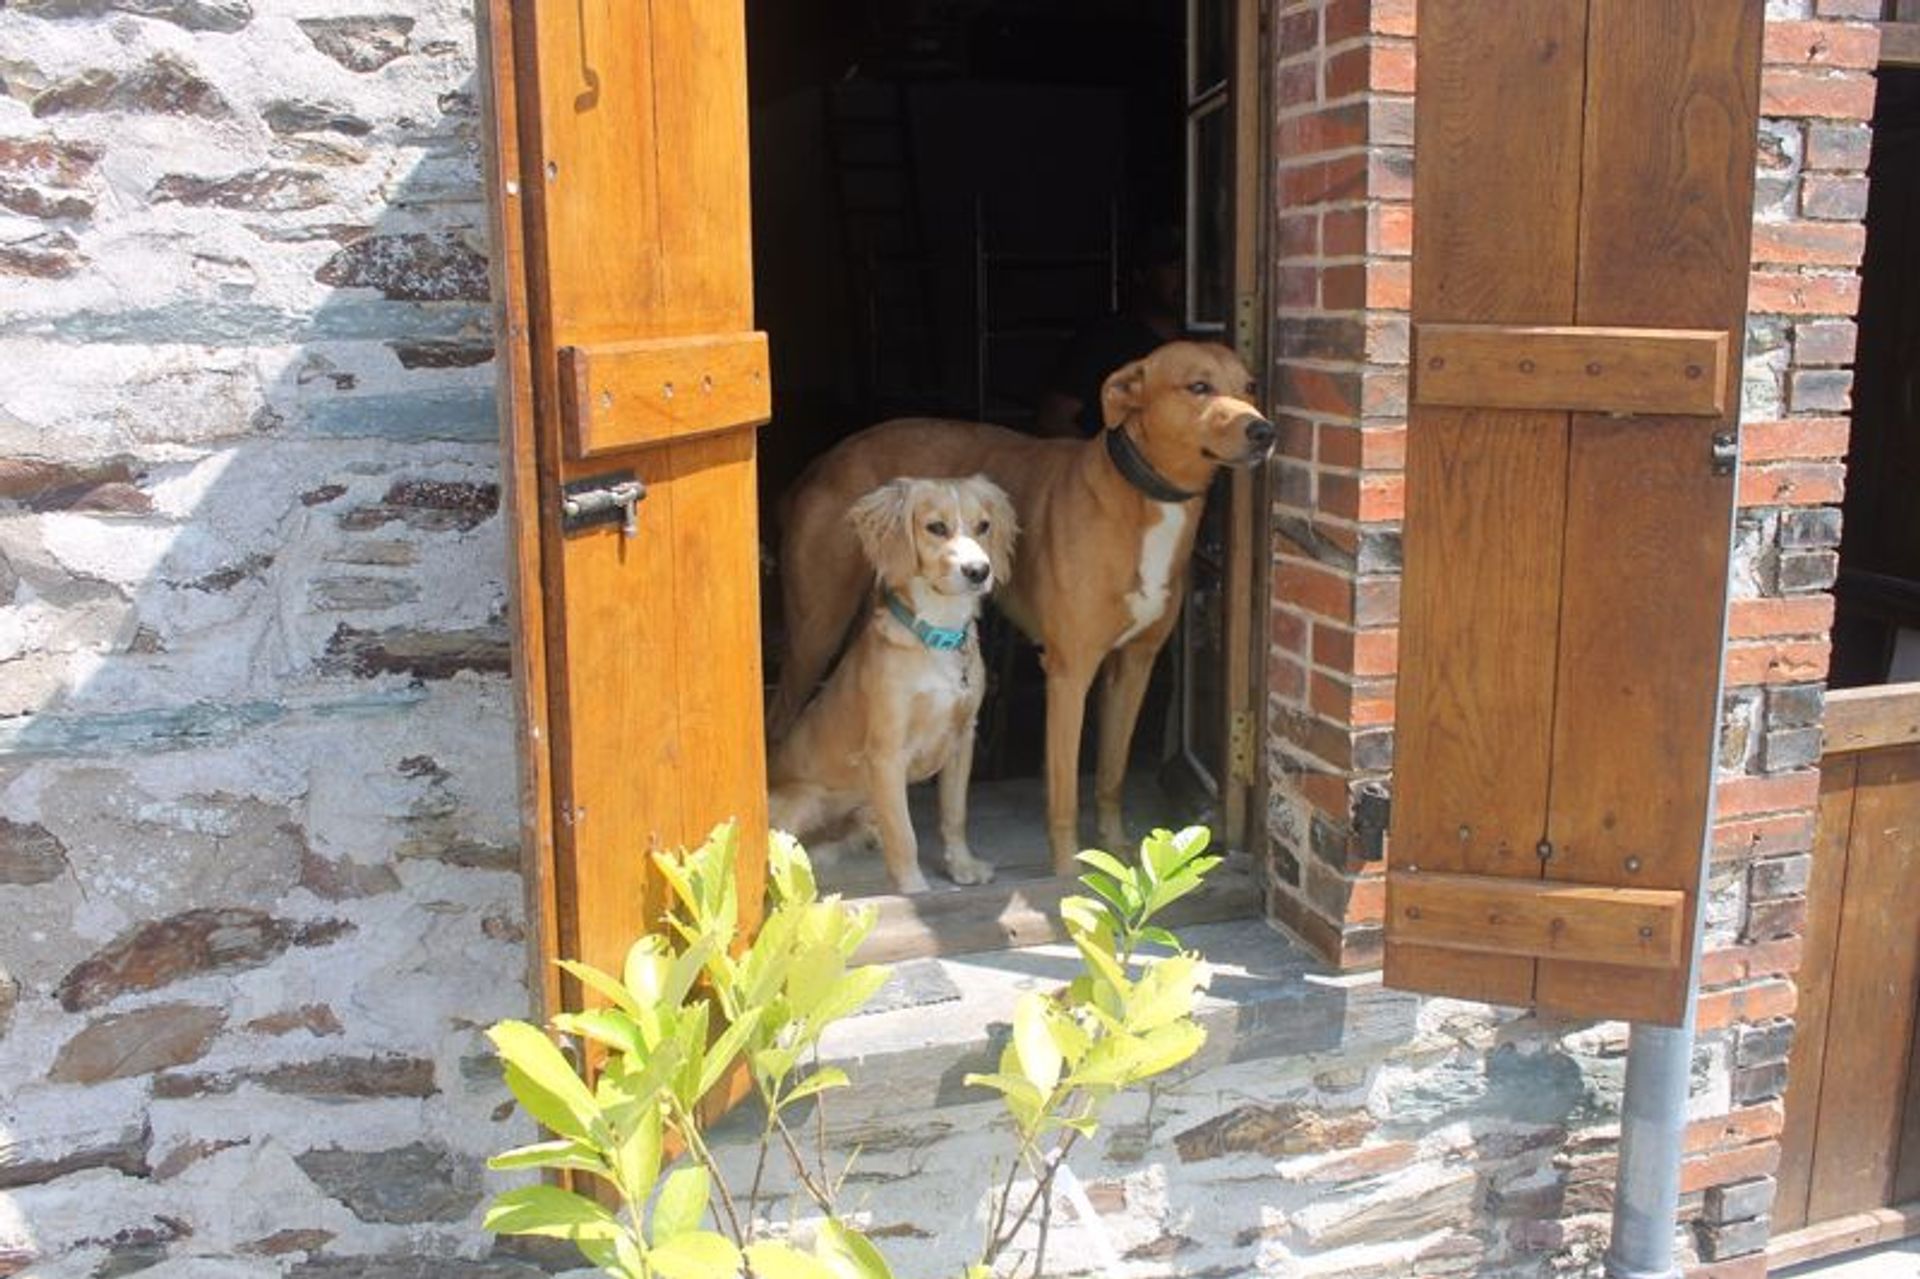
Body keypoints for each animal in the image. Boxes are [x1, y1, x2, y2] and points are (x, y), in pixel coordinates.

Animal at [768, 472, 1021, 891]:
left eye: (984, 526)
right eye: (936, 527)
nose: (979, 571)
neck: (936, 634)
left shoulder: (963, 736)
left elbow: (955, 815)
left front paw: (963, 867)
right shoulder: (886, 753)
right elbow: (904, 834)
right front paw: (915, 890)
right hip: (804, 801)